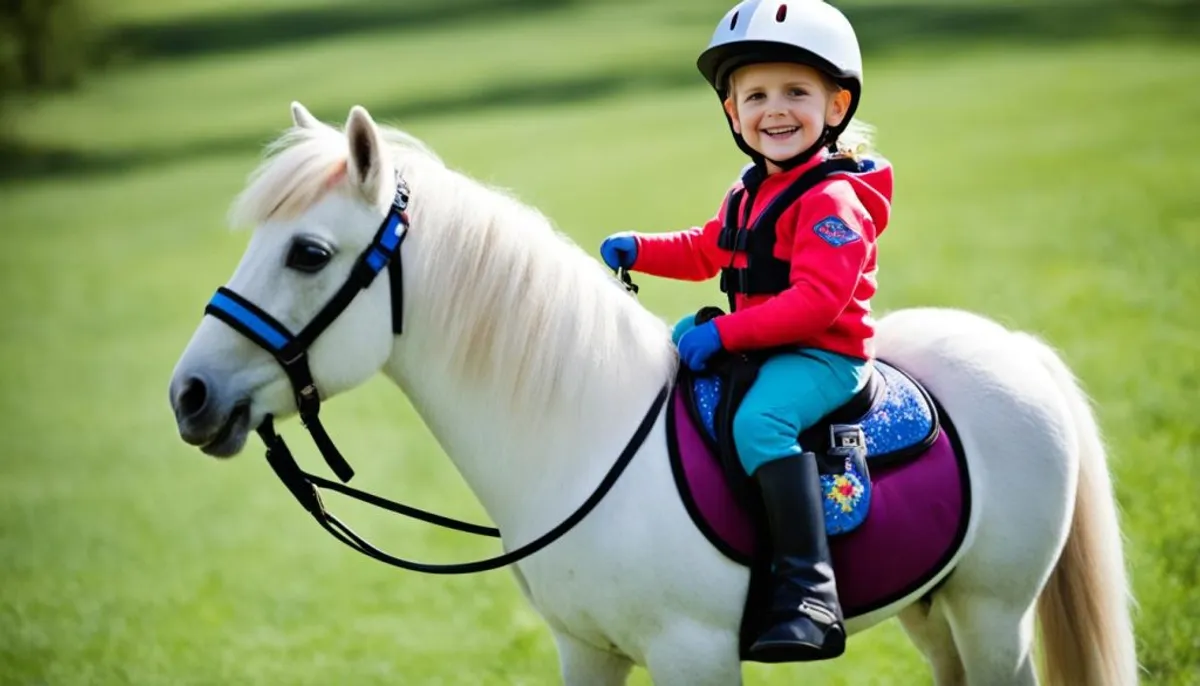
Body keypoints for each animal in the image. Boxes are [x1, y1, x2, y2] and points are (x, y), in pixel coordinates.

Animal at [166, 104, 1132, 681]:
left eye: (309, 254)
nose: (189, 393)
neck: (585, 441)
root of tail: (1019, 349)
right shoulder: (587, 652)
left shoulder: (692, 657)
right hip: (936, 610)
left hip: (993, 612)